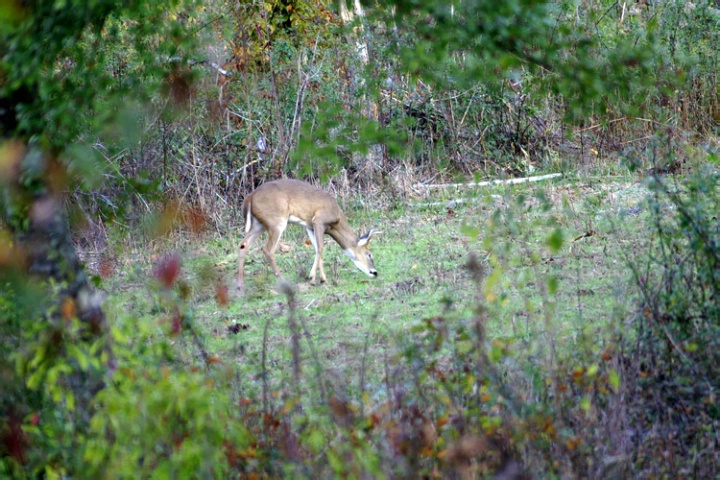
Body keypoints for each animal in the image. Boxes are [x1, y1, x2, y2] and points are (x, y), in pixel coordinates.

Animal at [238, 179, 382, 292]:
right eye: (369, 254)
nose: (375, 272)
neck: (336, 220)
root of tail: (250, 197)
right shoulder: (319, 220)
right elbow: (321, 247)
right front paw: (312, 279)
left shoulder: (310, 226)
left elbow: (317, 248)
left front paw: (323, 279)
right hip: (276, 221)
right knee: (268, 250)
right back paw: (282, 280)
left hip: (258, 225)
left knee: (243, 245)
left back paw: (240, 285)